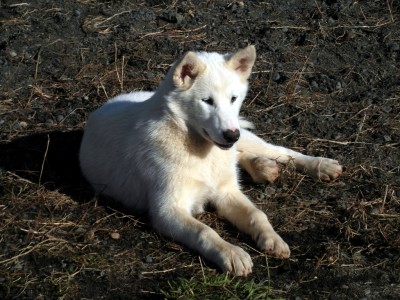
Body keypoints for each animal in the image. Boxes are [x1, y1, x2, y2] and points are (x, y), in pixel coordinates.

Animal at [79, 46, 342, 276]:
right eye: (207, 101)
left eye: (233, 98)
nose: (231, 135)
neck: (199, 150)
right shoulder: (167, 211)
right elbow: (204, 232)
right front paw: (232, 253)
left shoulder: (226, 191)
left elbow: (257, 214)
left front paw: (272, 239)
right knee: (242, 155)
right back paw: (262, 167)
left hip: (247, 137)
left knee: (278, 150)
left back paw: (319, 165)